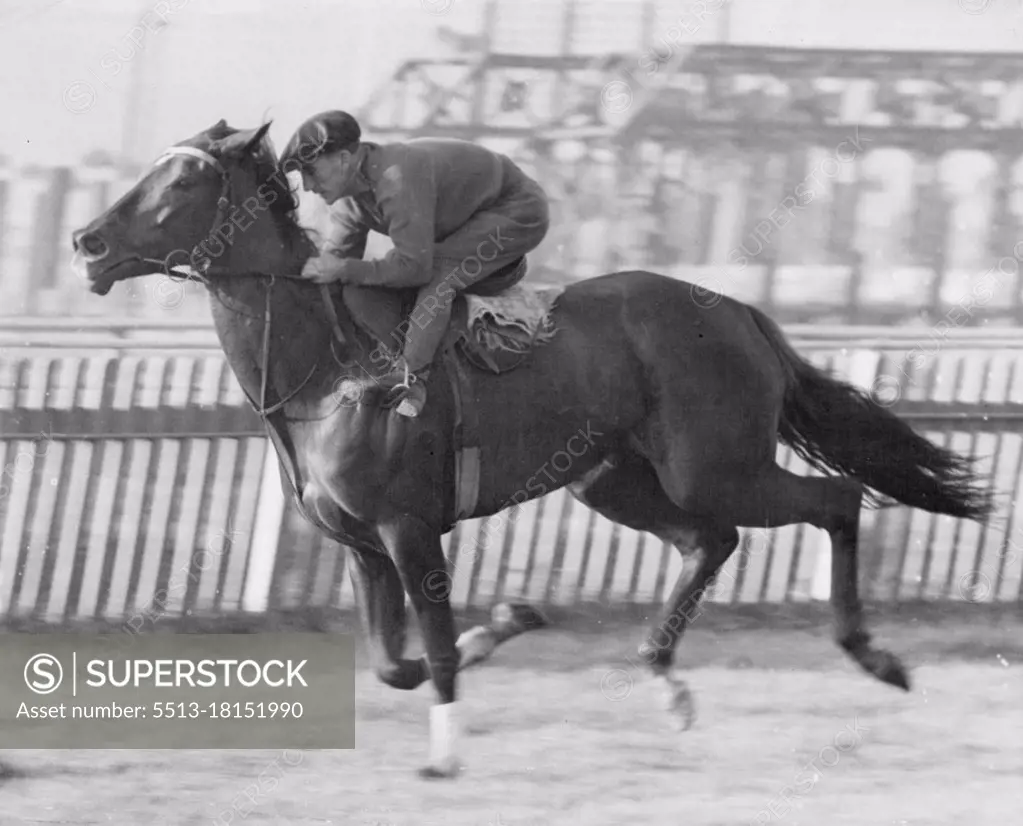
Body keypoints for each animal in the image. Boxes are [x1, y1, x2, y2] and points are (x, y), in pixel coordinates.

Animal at [68, 119, 994, 777]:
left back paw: (873, 656)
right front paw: (509, 621)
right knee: (711, 540)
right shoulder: (359, 545)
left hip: (713, 466)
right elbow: (391, 663)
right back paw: (667, 681)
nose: (86, 243)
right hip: (612, 480)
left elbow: (436, 648)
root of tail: (737, 309)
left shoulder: (410, 529)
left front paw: (446, 754)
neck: (325, 372)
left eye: (185, 177)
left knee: (831, 501)